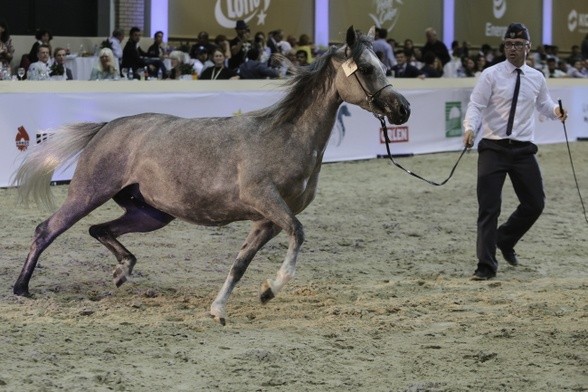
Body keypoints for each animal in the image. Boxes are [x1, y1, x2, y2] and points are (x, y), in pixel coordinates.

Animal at [12, 25, 408, 324]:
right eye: (367, 68)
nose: (402, 108)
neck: (286, 137)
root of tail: (107, 126)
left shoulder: (266, 219)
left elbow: (241, 262)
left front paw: (221, 308)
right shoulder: (266, 202)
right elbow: (298, 233)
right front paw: (273, 287)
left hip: (151, 213)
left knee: (100, 230)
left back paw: (123, 270)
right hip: (89, 192)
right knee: (46, 230)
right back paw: (21, 288)